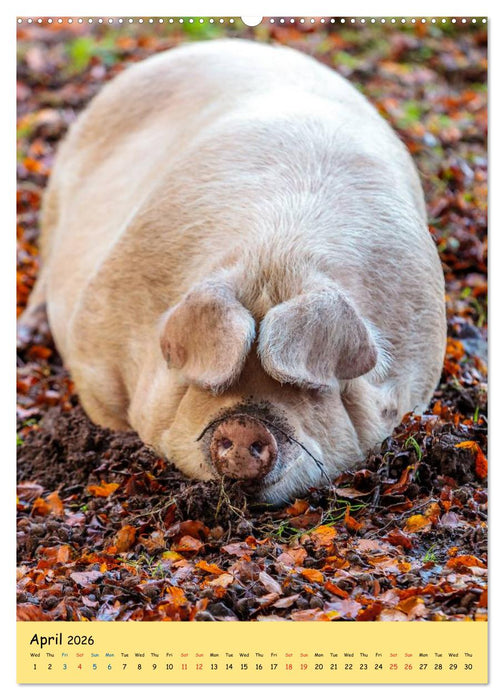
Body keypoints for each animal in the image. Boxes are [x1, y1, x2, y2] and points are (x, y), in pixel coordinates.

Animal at [20, 38, 446, 504]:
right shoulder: (92, 343)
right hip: (53, 206)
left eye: (314, 390)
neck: (275, 259)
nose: (245, 427)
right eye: (210, 381)